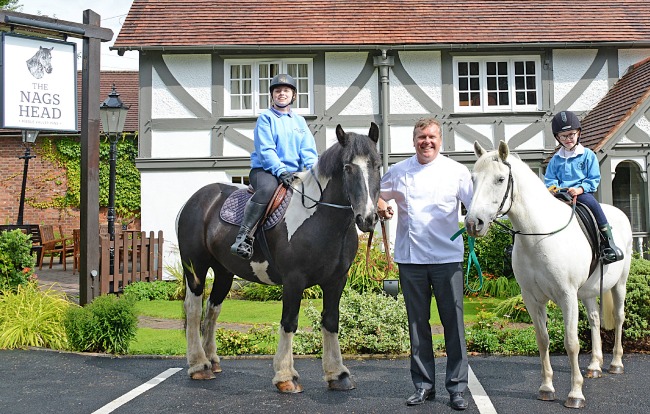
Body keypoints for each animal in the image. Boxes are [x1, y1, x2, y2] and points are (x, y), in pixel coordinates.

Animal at [175, 122, 382, 392]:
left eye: (377, 165)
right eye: (348, 167)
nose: (367, 218)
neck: (321, 219)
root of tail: (195, 199)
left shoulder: (336, 281)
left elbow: (331, 321)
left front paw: (337, 374)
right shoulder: (293, 280)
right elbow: (289, 322)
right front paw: (286, 376)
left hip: (223, 272)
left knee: (212, 308)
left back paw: (212, 361)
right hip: (195, 268)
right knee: (193, 309)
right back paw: (199, 365)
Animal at [464, 141, 632, 410]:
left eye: (500, 179)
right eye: (473, 178)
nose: (472, 223)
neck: (539, 235)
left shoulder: (566, 296)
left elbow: (571, 342)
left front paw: (575, 394)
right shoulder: (532, 299)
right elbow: (542, 340)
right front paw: (546, 388)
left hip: (620, 285)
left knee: (617, 318)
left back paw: (615, 363)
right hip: (587, 293)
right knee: (595, 319)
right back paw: (595, 365)